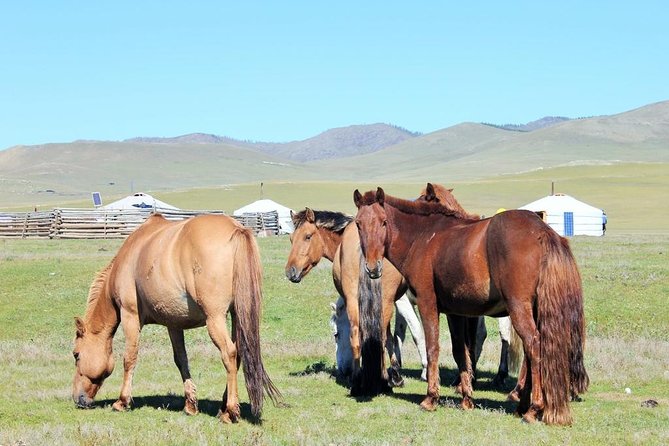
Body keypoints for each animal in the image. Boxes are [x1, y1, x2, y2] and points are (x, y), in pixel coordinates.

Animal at [72, 214, 280, 424]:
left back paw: (230, 411)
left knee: (229, 353)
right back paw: (223, 406)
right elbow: (181, 360)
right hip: (237, 316)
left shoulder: (130, 315)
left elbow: (129, 358)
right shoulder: (173, 324)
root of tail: (236, 229)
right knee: (238, 354)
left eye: (76, 354)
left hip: (215, 318)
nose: (77, 399)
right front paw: (190, 404)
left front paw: (122, 401)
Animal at [352, 184, 588, 426]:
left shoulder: (428, 304)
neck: (423, 236)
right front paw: (466, 399)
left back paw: (533, 408)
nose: (373, 268)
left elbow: (433, 347)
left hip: (519, 309)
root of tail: (543, 230)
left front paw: (431, 398)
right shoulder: (455, 312)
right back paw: (521, 405)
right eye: (358, 224)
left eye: (383, 222)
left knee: (533, 345)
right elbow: (461, 352)